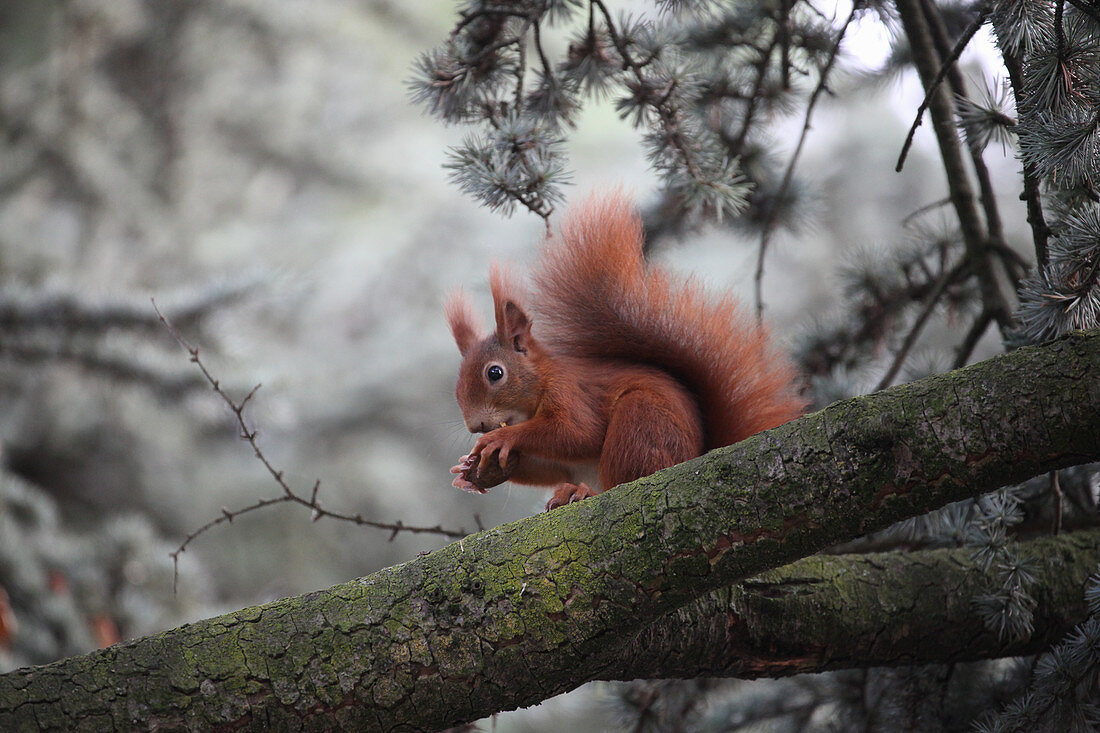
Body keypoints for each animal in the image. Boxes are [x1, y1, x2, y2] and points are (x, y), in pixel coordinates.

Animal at [442, 192, 805, 508]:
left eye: (495, 373)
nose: (476, 426)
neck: (540, 385)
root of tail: (699, 455)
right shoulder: (557, 459)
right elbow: (550, 466)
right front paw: (469, 471)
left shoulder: (572, 392)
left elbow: (576, 433)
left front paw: (500, 440)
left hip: (640, 424)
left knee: (626, 477)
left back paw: (586, 492)